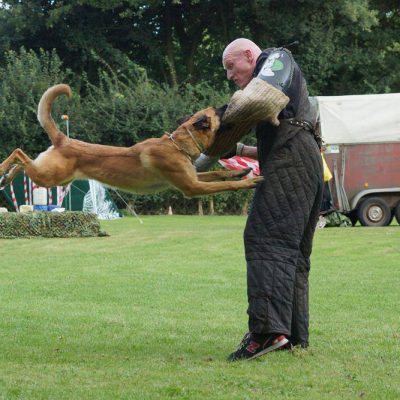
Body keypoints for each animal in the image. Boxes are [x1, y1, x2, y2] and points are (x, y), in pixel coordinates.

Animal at [0, 84, 262, 197]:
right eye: (218, 110)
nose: (228, 102)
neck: (178, 145)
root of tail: (63, 139)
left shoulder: (193, 178)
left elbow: (218, 174)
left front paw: (240, 172)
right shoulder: (192, 187)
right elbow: (223, 184)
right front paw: (249, 182)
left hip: (54, 177)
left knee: (22, 162)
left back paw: (6, 178)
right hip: (48, 177)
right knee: (19, 153)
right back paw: (3, 169)